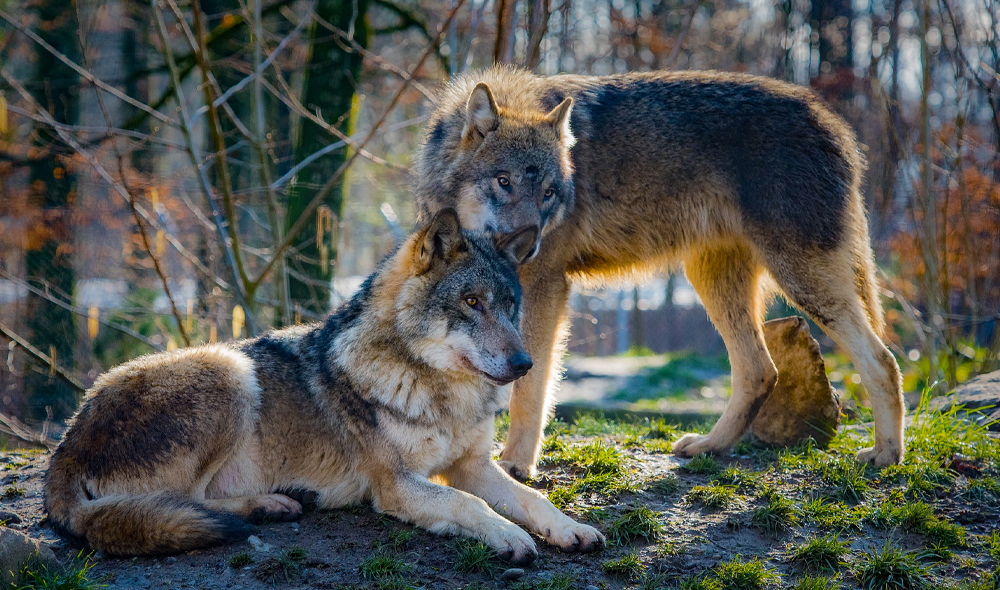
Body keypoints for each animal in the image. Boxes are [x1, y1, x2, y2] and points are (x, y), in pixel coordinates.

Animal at [44, 209, 604, 560]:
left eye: (509, 306)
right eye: (471, 302)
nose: (525, 363)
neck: (440, 392)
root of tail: (66, 444)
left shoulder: (472, 465)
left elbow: (531, 499)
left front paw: (570, 528)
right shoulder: (395, 484)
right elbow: (471, 505)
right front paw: (509, 537)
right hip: (230, 370)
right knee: (186, 502)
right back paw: (269, 505)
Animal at [414, 66, 905, 479]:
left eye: (550, 193)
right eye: (504, 182)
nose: (529, 245)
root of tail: (836, 124)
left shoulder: (544, 287)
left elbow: (529, 386)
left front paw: (516, 464)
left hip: (801, 281)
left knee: (882, 360)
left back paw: (886, 455)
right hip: (714, 281)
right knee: (760, 370)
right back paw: (709, 447)